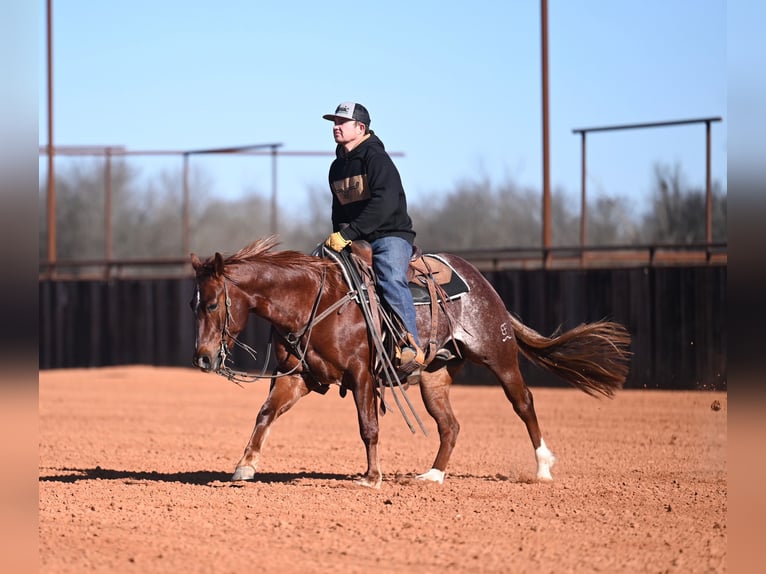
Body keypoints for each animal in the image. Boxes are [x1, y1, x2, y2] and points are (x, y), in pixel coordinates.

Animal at [190, 236, 631, 488]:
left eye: (211, 303)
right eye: (193, 304)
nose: (203, 358)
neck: (315, 299)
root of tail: (483, 284)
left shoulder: (362, 374)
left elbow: (368, 427)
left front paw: (371, 477)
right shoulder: (296, 376)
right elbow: (265, 414)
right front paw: (244, 466)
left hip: (499, 355)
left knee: (524, 403)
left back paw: (542, 468)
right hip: (434, 379)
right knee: (450, 426)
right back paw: (433, 475)